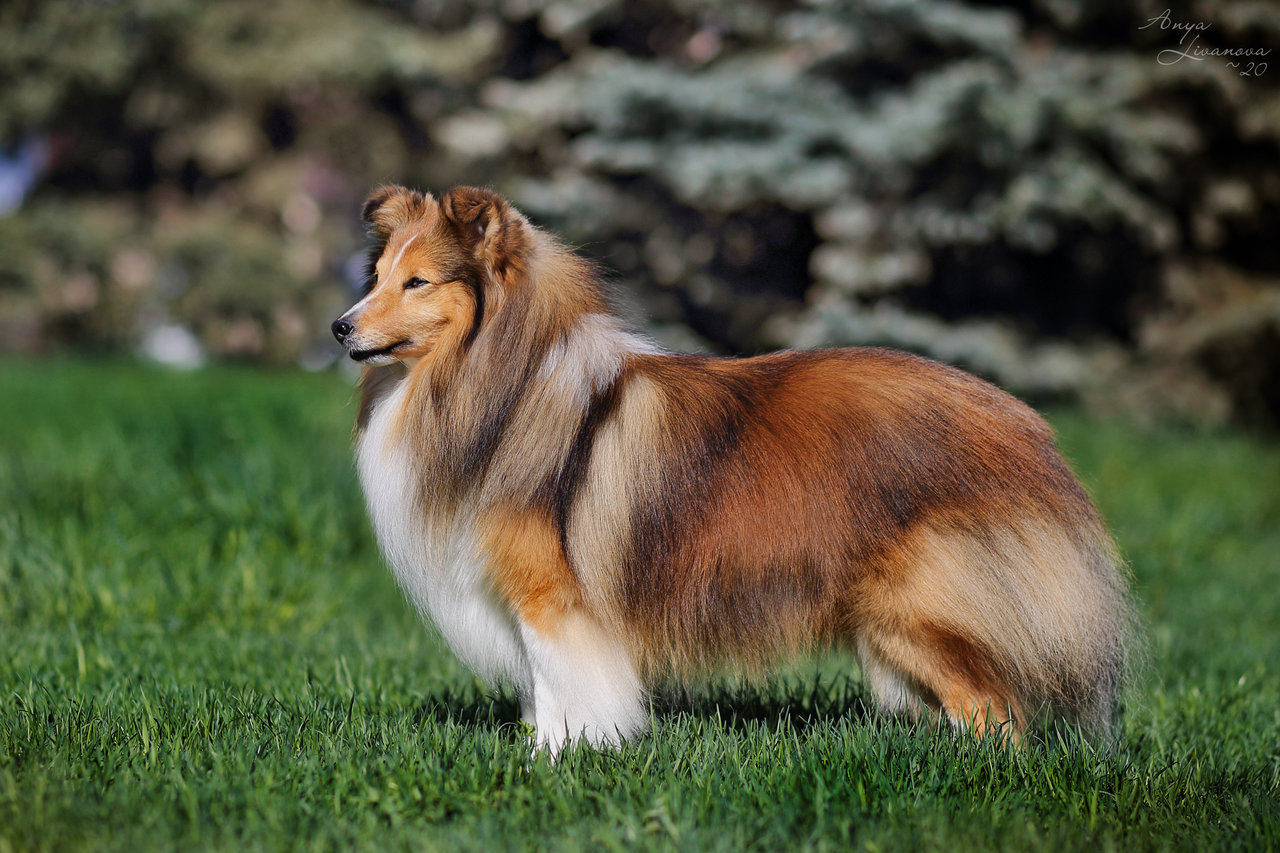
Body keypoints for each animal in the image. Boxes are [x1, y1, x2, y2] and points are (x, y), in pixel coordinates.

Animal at [330, 185, 1131, 753]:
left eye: (418, 283)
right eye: (378, 275)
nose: (339, 326)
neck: (498, 380)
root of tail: (1025, 428)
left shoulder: (552, 597)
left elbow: (567, 693)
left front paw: (558, 765)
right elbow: (543, 692)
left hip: (918, 609)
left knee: (998, 715)